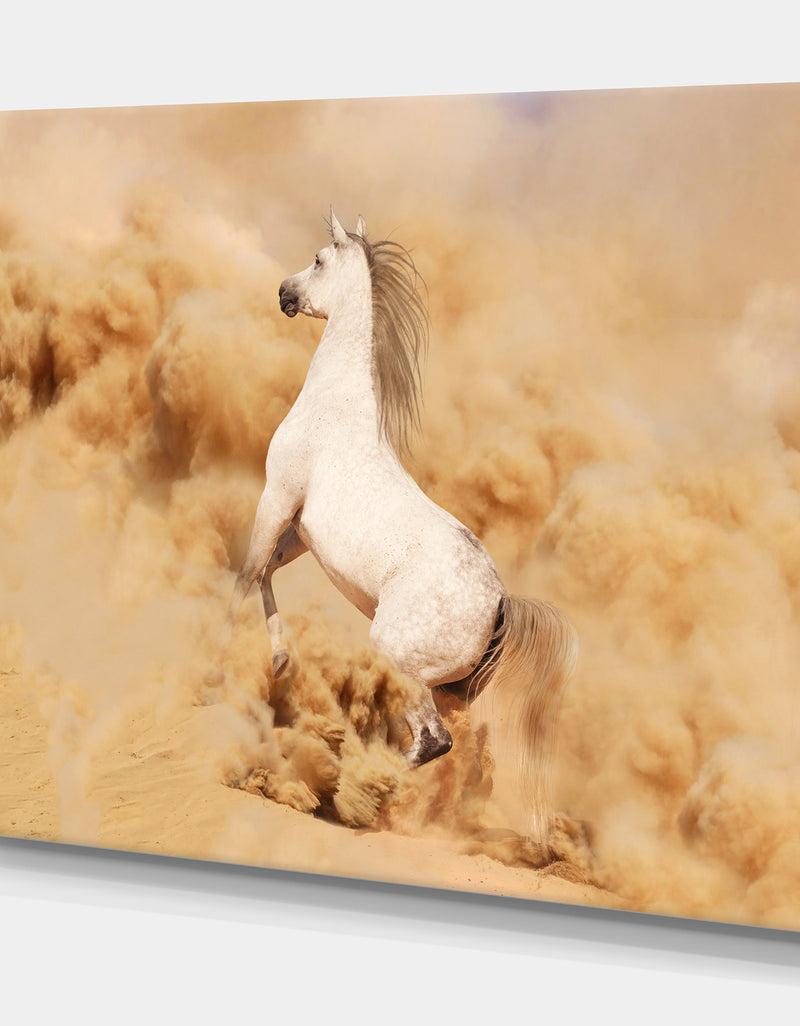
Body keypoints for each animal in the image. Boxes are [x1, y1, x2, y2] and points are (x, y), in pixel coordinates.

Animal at [227, 209, 578, 838]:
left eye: (319, 259)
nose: (284, 293)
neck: (336, 405)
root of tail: (501, 604)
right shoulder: (300, 531)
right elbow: (264, 572)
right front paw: (280, 661)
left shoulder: (277, 497)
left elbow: (245, 575)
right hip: (452, 689)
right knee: (453, 748)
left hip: (397, 653)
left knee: (432, 742)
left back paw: (354, 782)